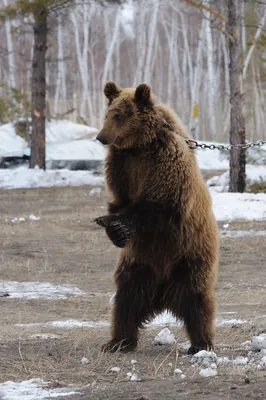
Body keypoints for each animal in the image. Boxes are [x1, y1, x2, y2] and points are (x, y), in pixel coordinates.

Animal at [94, 80, 219, 354]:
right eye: (108, 114)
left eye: (118, 115)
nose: (101, 137)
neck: (138, 147)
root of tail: (164, 295)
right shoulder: (121, 169)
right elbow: (119, 201)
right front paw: (111, 226)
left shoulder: (164, 164)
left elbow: (157, 204)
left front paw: (118, 225)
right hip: (140, 263)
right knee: (127, 298)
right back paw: (118, 341)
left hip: (189, 254)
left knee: (197, 299)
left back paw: (200, 344)